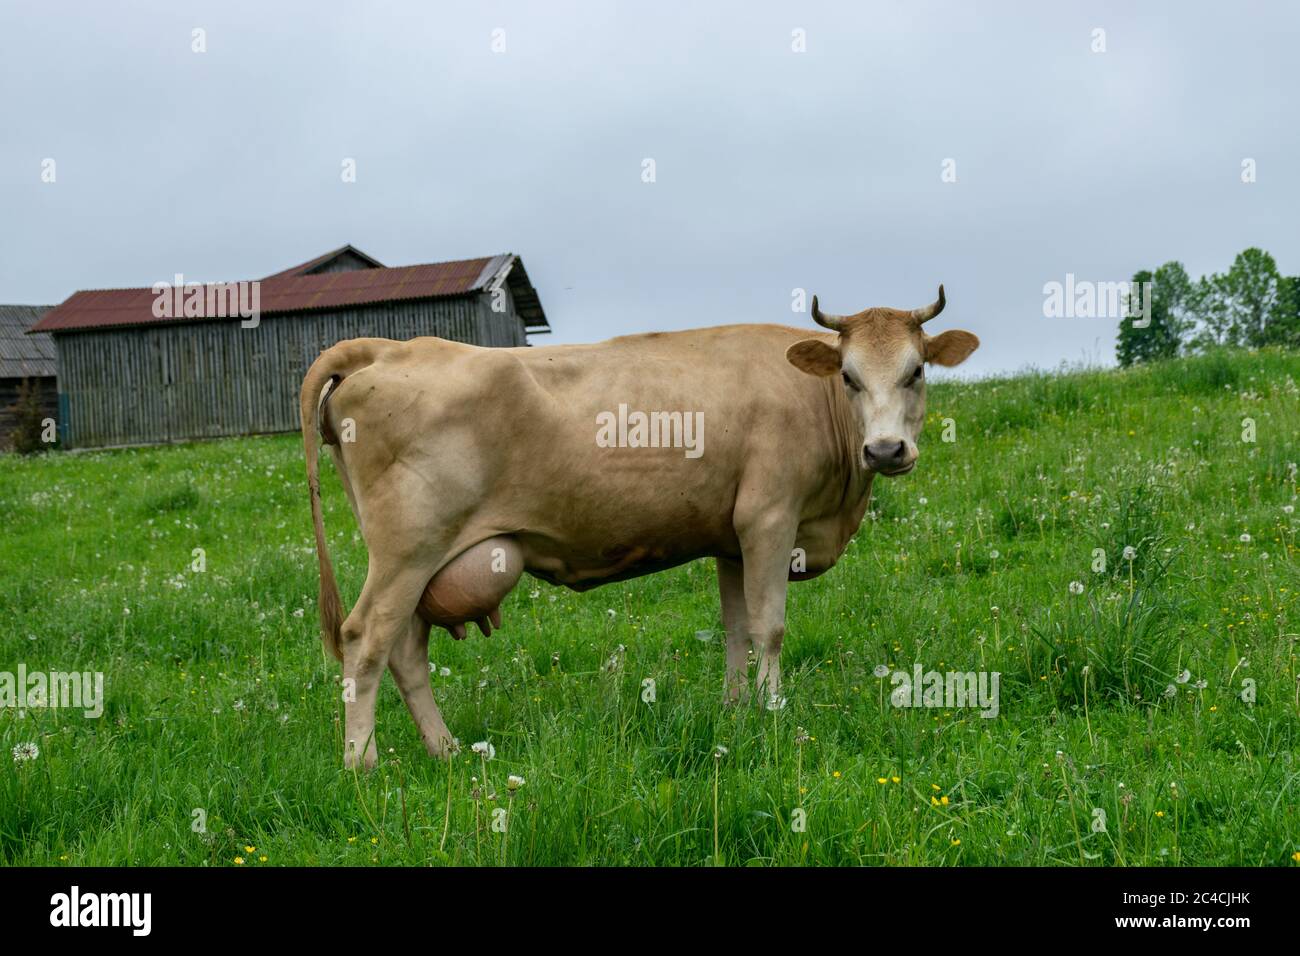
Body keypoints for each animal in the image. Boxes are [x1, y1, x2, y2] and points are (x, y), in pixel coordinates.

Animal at [300, 286, 978, 768]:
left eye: (916, 371)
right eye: (849, 377)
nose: (885, 450)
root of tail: (390, 346)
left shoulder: (731, 539)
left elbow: (736, 629)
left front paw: (736, 712)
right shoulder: (769, 518)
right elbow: (770, 626)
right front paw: (775, 712)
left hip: (423, 564)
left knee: (406, 652)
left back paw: (445, 752)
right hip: (407, 552)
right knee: (365, 639)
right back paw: (362, 764)